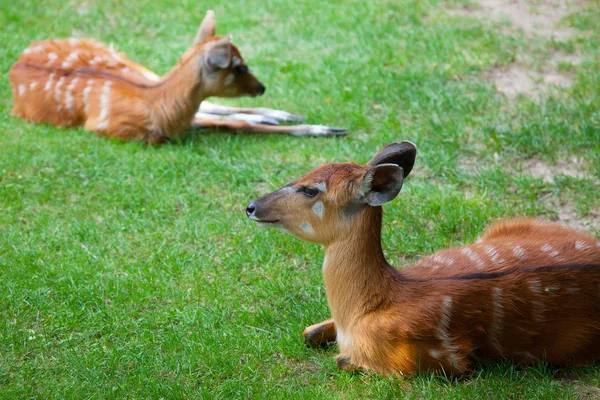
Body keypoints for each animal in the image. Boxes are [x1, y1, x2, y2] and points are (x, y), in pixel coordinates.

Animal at [8, 9, 346, 144]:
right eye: (239, 66)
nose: (261, 87)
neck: (158, 107)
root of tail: (15, 64)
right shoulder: (130, 133)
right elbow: (230, 123)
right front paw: (325, 129)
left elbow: (226, 119)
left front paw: (320, 126)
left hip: (130, 62)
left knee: (211, 106)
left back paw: (278, 114)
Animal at [245, 142, 600, 376]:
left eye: (310, 190)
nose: (251, 206)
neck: (363, 311)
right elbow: (308, 333)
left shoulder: (438, 358)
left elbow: (343, 360)